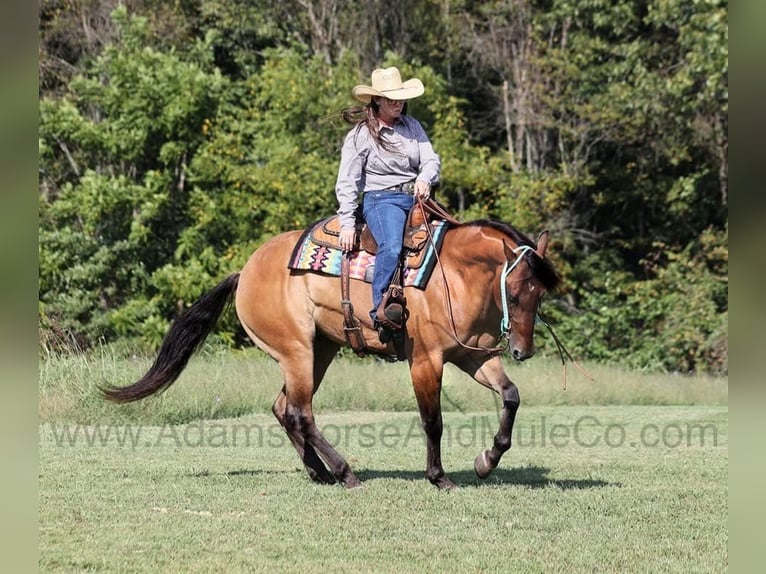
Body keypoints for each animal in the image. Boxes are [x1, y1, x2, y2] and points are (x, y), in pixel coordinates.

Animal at [102, 219, 560, 490]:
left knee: (284, 409)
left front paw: (487, 460)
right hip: (298, 351)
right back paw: (344, 472)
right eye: (515, 289)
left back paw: (319, 472)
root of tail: (245, 271)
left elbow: (511, 395)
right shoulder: (426, 361)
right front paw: (439, 477)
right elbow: (433, 422)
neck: (453, 275)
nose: (522, 350)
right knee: (301, 413)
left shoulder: (474, 355)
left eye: (540, 293)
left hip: (318, 351)